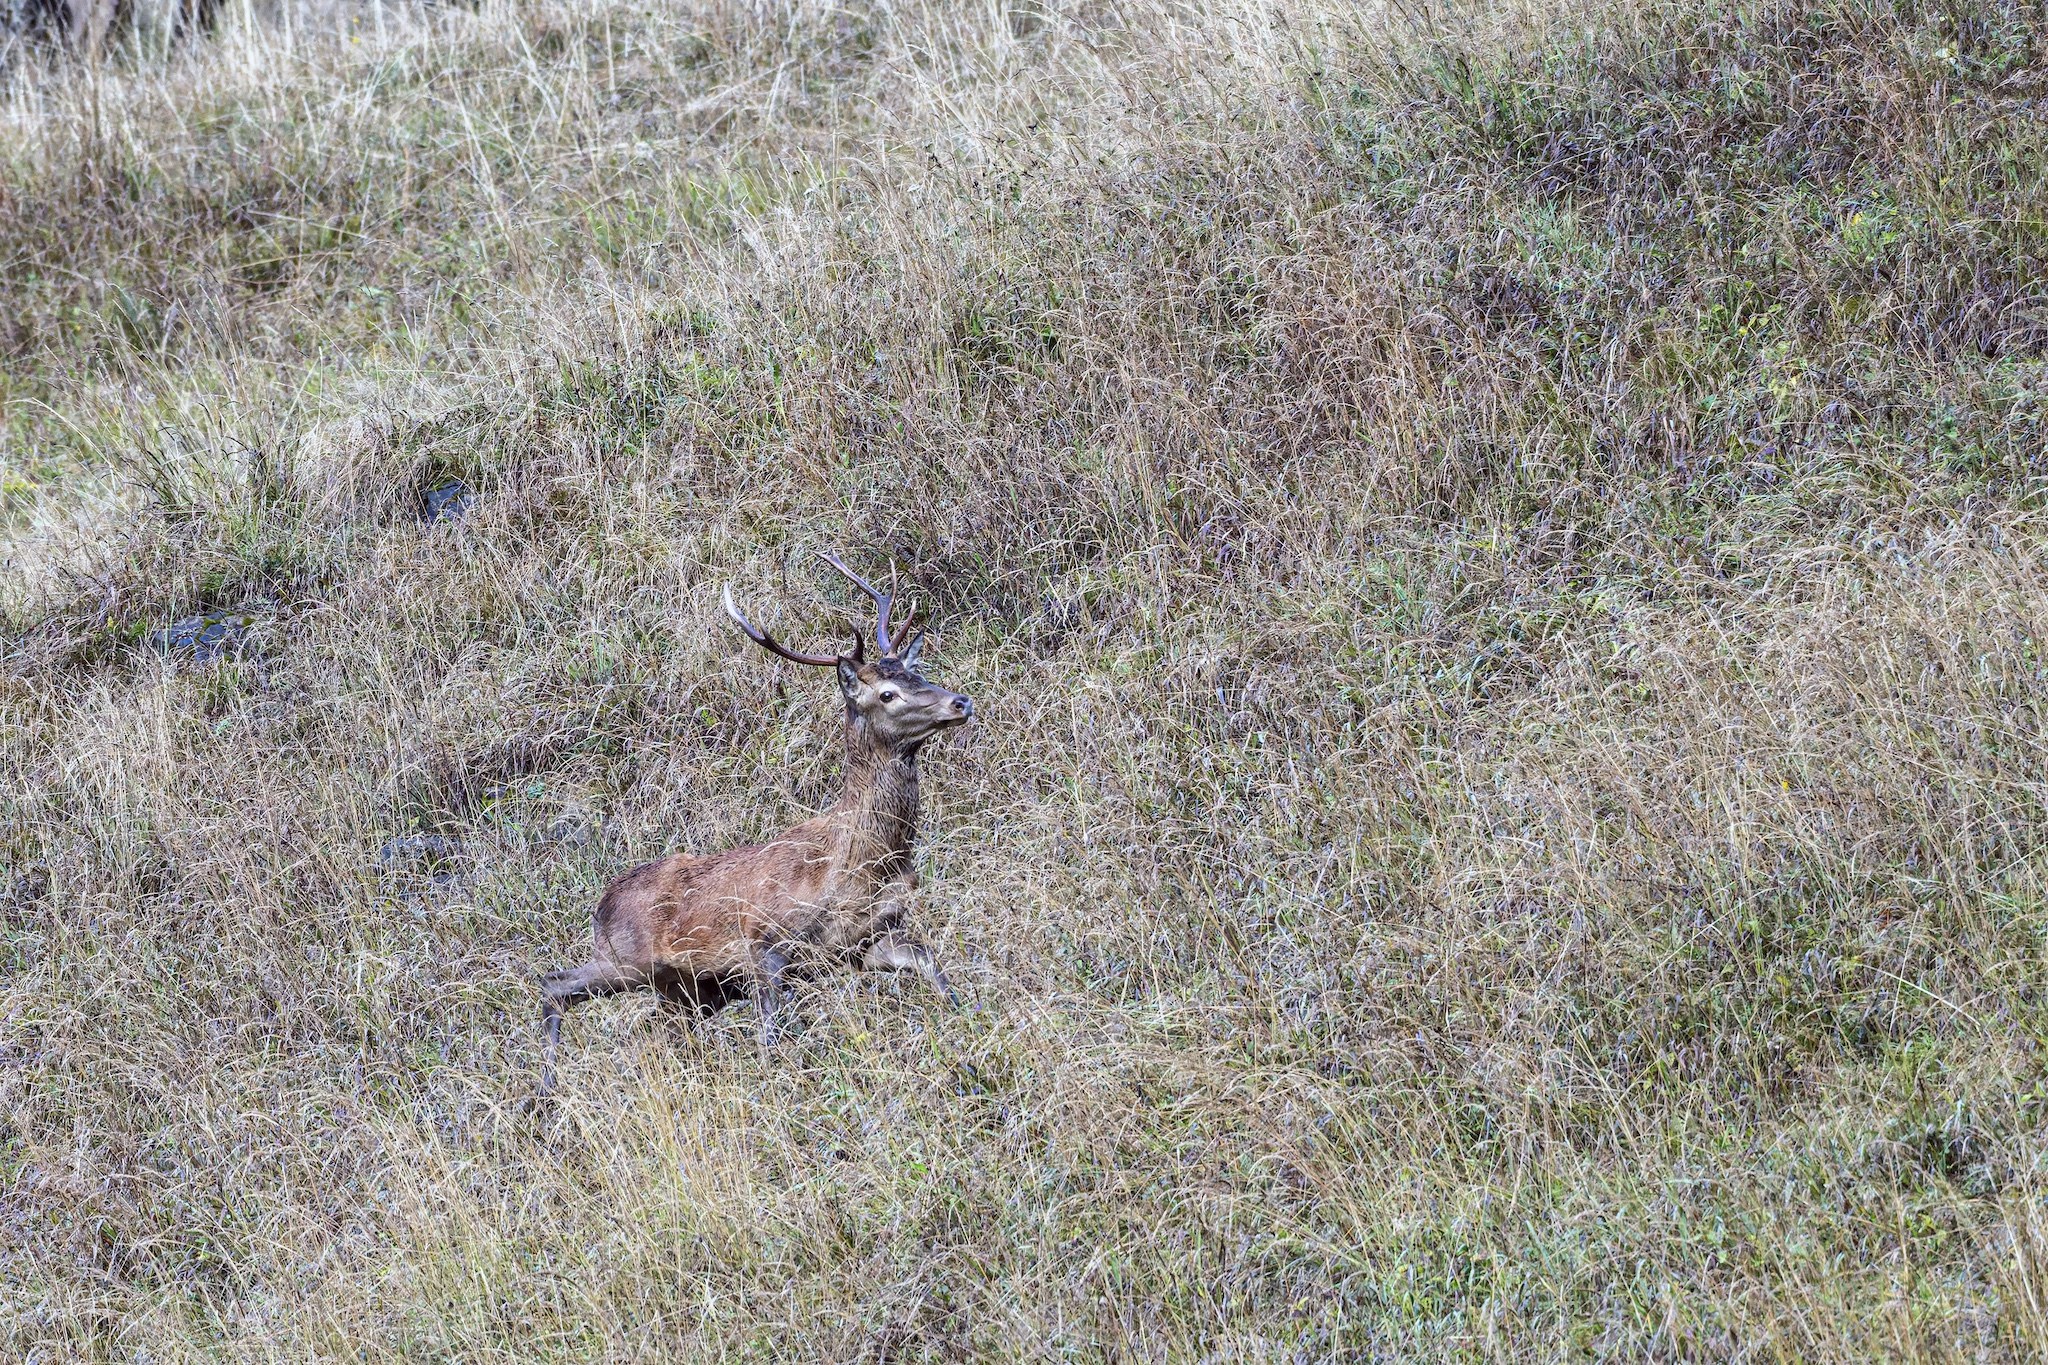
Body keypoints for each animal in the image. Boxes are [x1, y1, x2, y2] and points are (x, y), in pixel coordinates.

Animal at [536, 553, 974, 1097]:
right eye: (888, 693)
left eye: (920, 673)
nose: (960, 702)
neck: (856, 864)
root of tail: (601, 903)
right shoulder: (763, 943)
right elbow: (773, 1033)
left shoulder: (867, 940)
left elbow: (933, 965)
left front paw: (967, 1024)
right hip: (626, 959)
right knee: (553, 984)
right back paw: (545, 1090)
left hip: (689, 991)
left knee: (652, 1029)